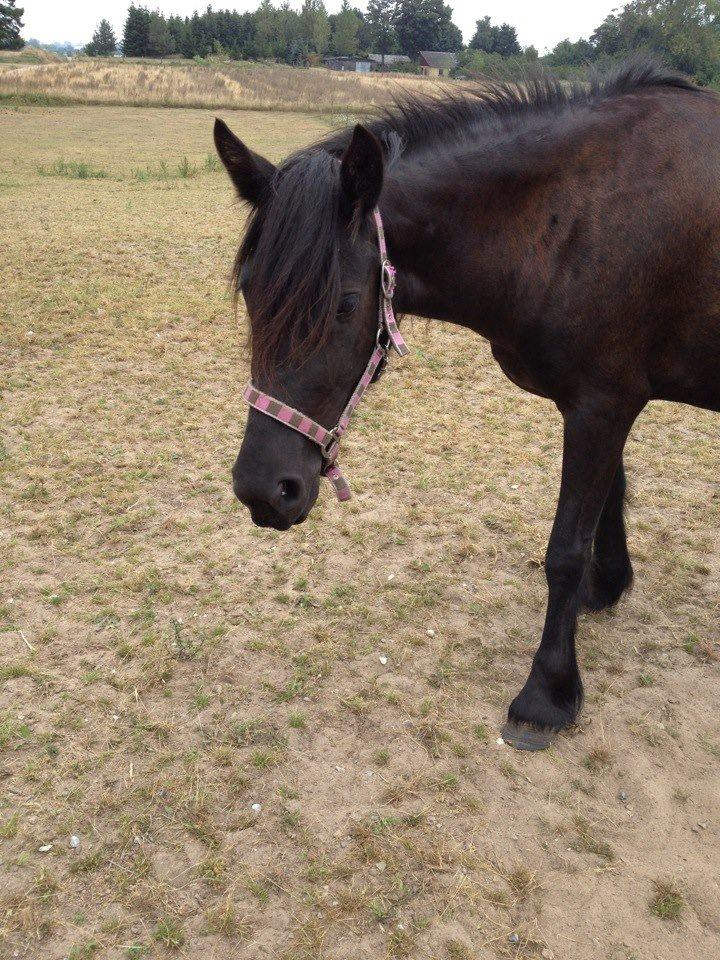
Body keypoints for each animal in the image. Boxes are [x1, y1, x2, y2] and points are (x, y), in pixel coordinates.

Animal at [214, 61, 720, 751]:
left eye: (344, 304)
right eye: (248, 289)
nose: (264, 491)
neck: (576, 216)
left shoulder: (602, 402)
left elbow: (566, 549)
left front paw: (547, 694)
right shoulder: (605, 401)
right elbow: (610, 498)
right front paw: (607, 586)